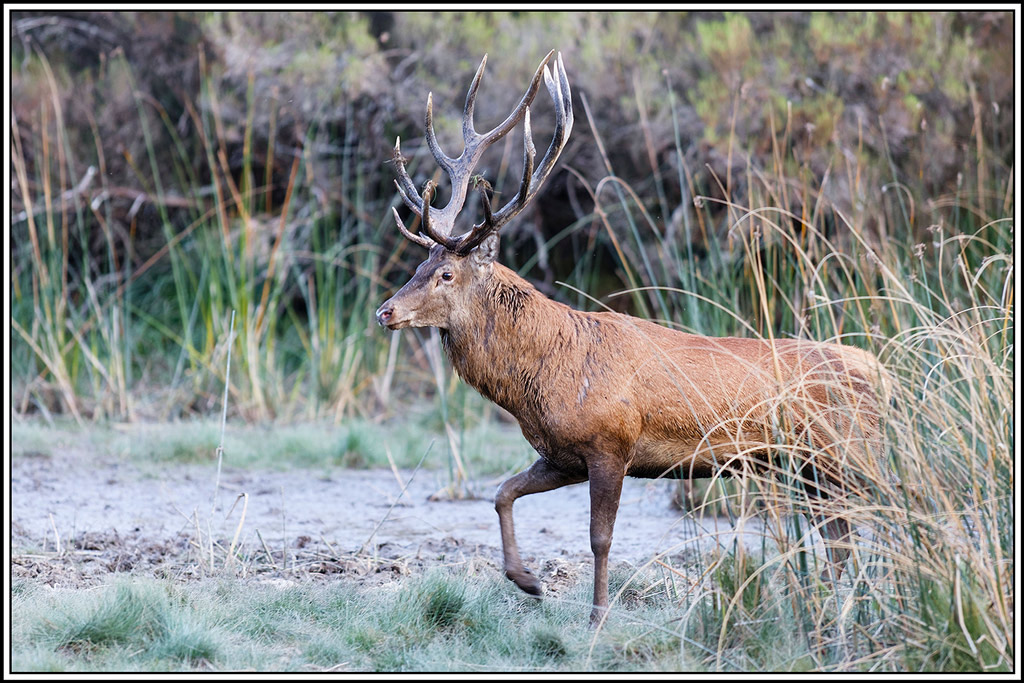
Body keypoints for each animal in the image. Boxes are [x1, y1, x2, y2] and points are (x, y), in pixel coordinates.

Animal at [375, 50, 890, 625]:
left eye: (446, 274)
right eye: (418, 266)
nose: (385, 311)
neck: (541, 380)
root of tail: (881, 370)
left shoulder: (611, 442)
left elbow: (600, 538)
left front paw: (597, 616)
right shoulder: (561, 454)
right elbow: (502, 492)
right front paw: (527, 580)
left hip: (851, 453)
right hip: (812, 468)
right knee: (840, 541)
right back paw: (835, 612)